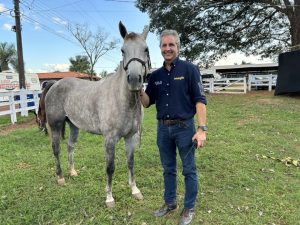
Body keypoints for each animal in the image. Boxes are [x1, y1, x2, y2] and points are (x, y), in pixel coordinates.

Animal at [44, 21, 150, 207]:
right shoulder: (110, 139)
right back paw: (61, 177)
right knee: (56, 149)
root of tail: (54, 84)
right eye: (123, 50)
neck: (122, 99)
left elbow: (130, 163)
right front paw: (109, 198)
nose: (134, 80)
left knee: (70, 146)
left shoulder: (131, 137)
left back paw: (72, 172)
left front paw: (135, 190)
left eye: (145, 49)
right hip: (55, 125)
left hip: (73, 126)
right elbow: (110, 167)